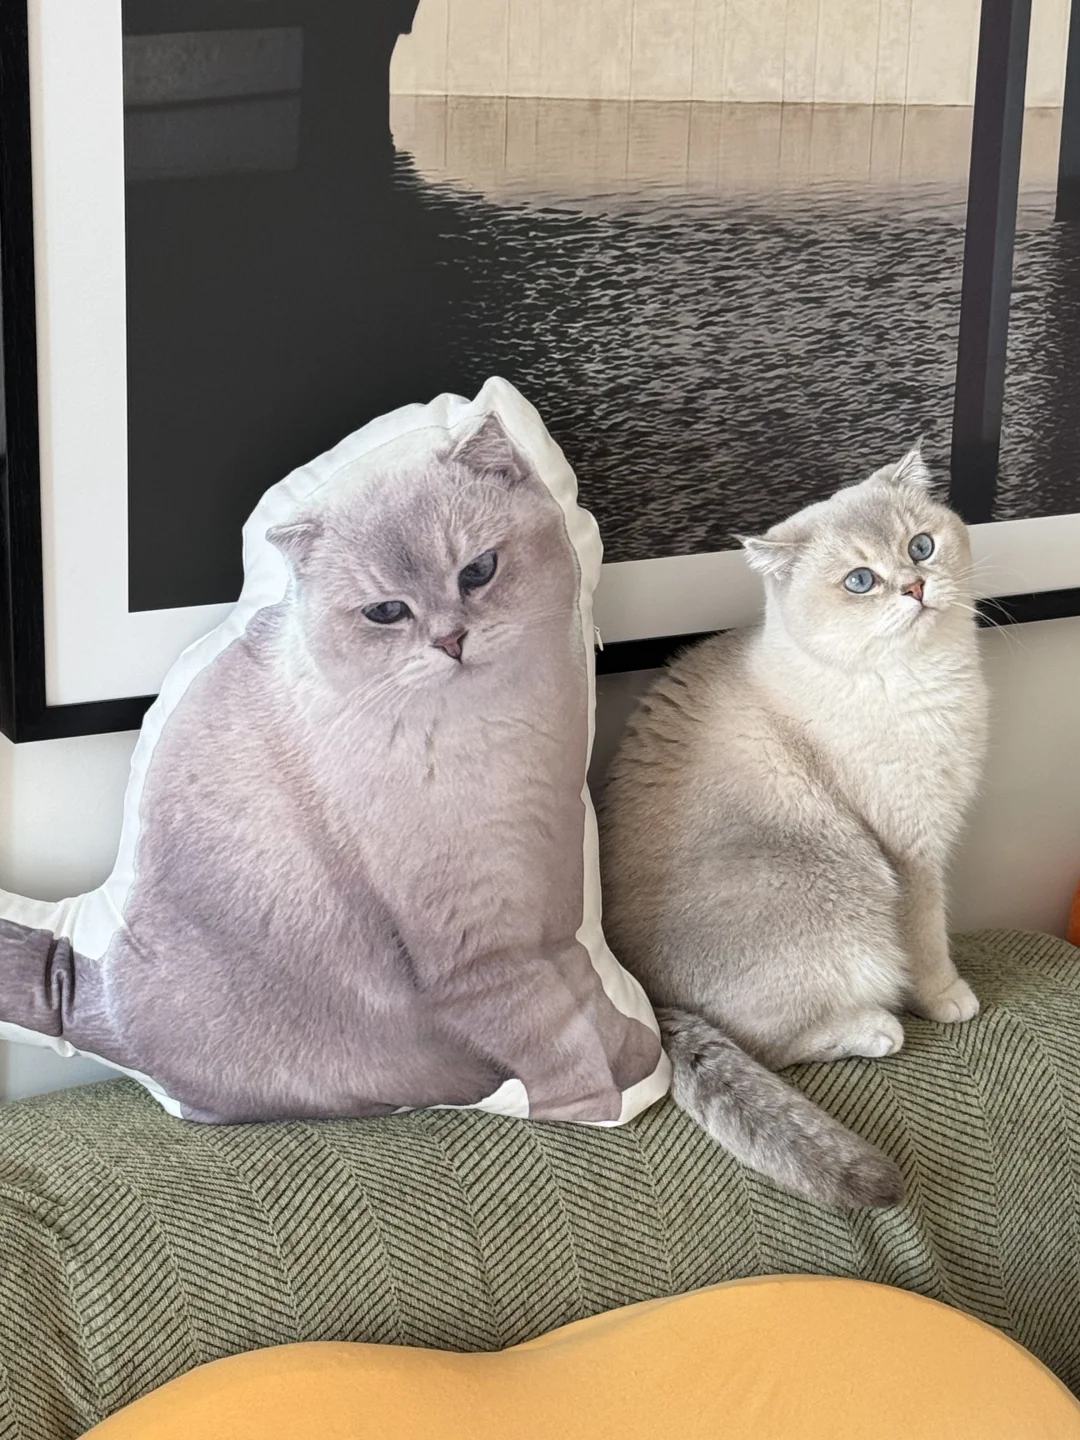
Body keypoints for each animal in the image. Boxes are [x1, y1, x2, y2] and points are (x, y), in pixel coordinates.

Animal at [0, 415, 660, 1122]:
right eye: (387, 612)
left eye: (478, 571)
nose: (451, 641)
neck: (504, 731)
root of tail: (88, 989)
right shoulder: (479, 951)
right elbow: (555, 1034)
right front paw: (595, 1105)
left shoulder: (555, 889)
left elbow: (588, 999)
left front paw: (639, 1059)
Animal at [598, 446, 988, 1208]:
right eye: (861, 581)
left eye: (920, 546)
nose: (915, 586)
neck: (928, 677)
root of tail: (648, 1002)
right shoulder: (913, 853)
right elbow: (930, 943)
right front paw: (949, 1000)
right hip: (846, 897)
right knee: (772, 1046)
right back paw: (878, 1030)